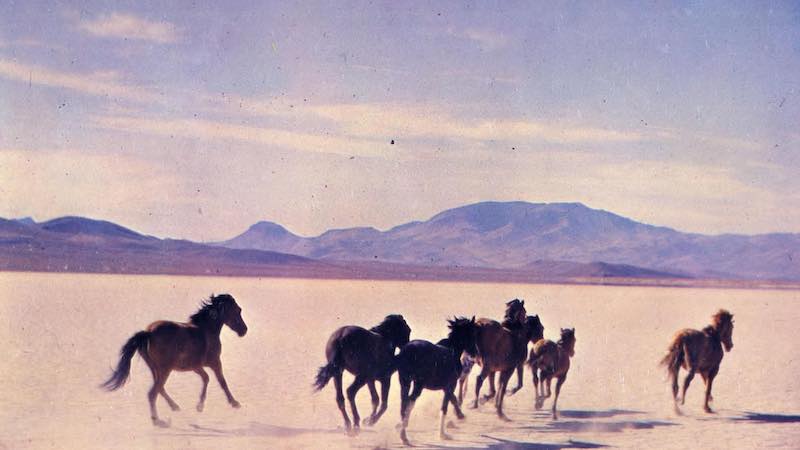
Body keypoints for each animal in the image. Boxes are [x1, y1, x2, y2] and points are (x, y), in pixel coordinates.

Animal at [101, 294, 248, 428]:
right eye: (238, 310)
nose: (244, 330)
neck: (207, 330)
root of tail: (148, 333)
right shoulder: (215, 362)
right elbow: (222, 382)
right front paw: (234, 403)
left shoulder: (195, 366)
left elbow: (206, 378)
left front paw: (199, 406)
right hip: (165, 369)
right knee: (153, 393)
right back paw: (158, 421)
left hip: (155, 368)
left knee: (160, 389)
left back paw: (175, 407)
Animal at [396, 316, 478, 446]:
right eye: (472, 332)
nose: (475, 353)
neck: (452, 351)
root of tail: (407, 351)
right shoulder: (451, 385)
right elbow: (445, 406)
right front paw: (443, 434)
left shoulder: (446, 387)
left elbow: (453, 399)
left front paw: (460, 415)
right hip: (418, 385)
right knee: (410, 402)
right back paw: (404, 436)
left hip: (405, 382)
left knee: (404, 404)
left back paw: (403, 430)